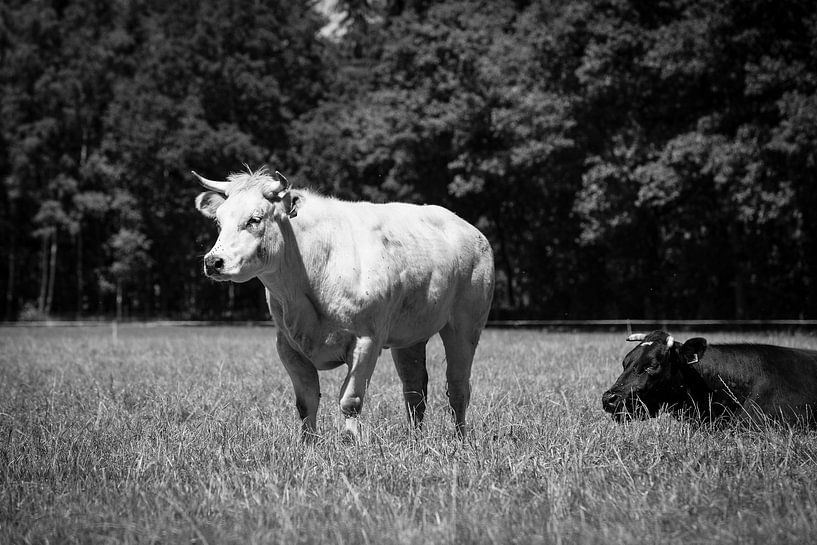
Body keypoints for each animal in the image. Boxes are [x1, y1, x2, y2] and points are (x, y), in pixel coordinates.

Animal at [193, 166, 498, 438]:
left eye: (255, 219)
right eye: (219, 221)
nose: (213, 261)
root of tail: (470, 229)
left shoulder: (366, 341)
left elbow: (350, 400)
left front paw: (351, 443)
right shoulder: (287, 346)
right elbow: (306, 403)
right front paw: (308, 445)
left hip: (464, 327)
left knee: (458, 388)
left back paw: (460, 440)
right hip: (409, 336)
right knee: (415, 389)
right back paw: (415, 440)